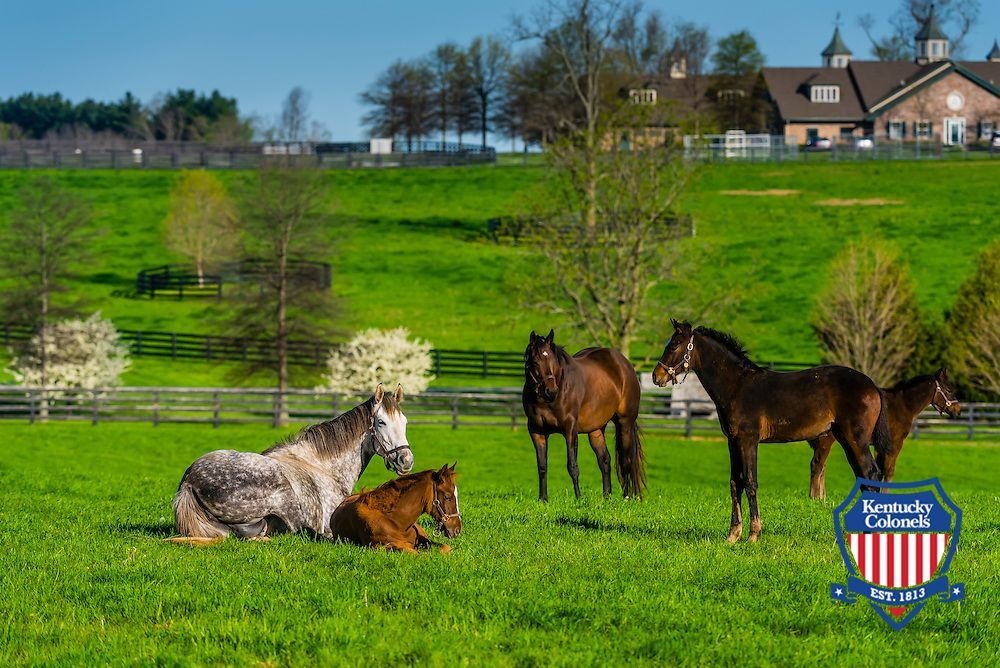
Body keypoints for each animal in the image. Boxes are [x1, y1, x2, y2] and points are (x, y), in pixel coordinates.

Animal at [332, 464, 464, 552]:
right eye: (447, 497)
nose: (457, 529)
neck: (395, 521)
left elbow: (445, 547)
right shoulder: (382, 546)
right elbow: (414, 552)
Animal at [520, 328, 644, 500]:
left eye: (551, 359)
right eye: (535, 361)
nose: (551, 391)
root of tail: (625, 364)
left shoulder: (570, 429)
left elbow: (572, 465)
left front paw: (578, 498)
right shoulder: (536, 431)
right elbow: (542, 465)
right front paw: (543, 499)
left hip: (625, 423)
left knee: (626, 459)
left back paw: (626, 497)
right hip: (596, 429)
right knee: (604, 460)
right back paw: (606, 497)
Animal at [804, 368, 960, 498]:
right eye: (949, 389)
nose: (958, 410)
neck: (902, 406)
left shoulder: (879, 447)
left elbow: (879, 470)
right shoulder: (895, 444)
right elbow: (889, 471)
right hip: (829, 440)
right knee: (818, 465)